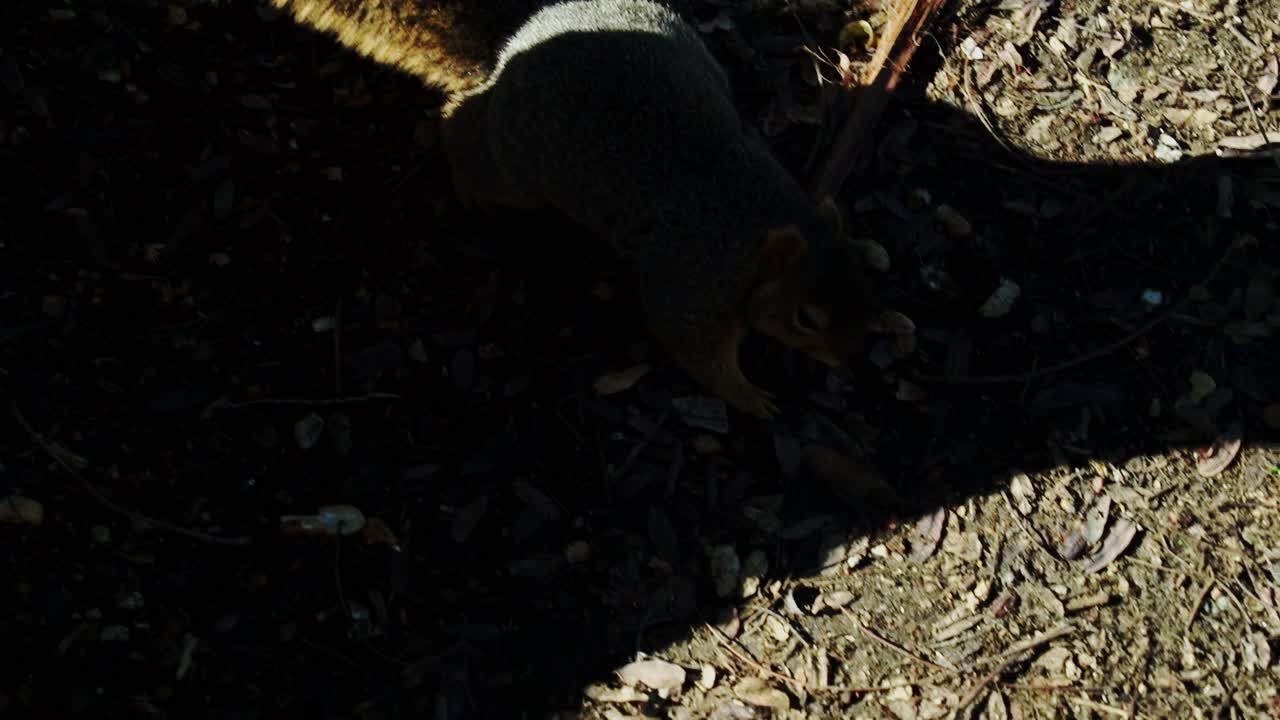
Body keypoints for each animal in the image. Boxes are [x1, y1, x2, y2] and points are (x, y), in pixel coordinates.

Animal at [268, 0, 884, 419]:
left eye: (867, 282)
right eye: (808, 318)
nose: (853, 357)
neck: (755, 219)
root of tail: (518, 41)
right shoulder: (691, 282)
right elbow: (695, 348)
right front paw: (750, 396)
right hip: (518, 167)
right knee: (464, 126)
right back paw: (467, 177)